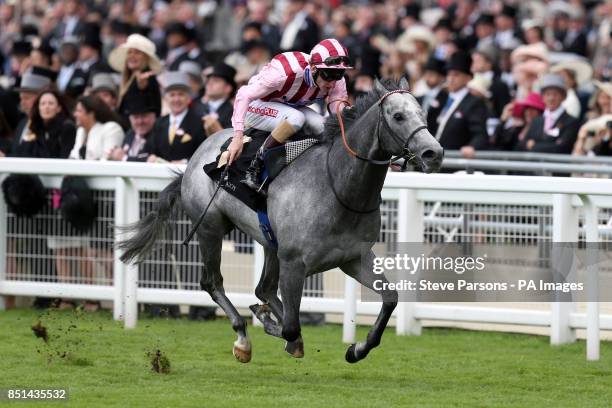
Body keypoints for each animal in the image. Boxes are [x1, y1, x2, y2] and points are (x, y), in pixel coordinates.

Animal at [119, 79, 442, 364]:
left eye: (424, 114)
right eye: (398, 116)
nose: (434, 153)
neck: (338, 187)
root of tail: (198, 154)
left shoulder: (353, 257)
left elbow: (390, 299)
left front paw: (357, 349)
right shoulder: (294, 261)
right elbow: (289, 326)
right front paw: (268, 323)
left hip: (270, 244)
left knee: (264, 289)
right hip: (211, 228)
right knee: (213, 282)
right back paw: (243, 338)